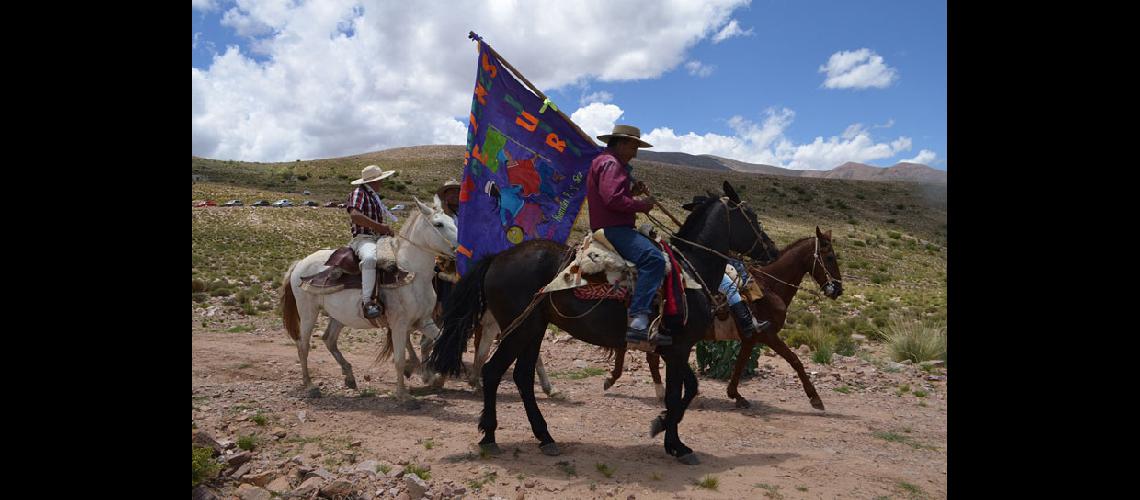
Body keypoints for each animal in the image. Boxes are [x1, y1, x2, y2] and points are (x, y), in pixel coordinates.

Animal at [281, 195, 458, 403]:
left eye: (452, 220)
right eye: (438, 224)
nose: (461, 248)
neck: (414, 274)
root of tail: (300, 263)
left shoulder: (424, 321)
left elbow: (439, 340)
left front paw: (432, 377)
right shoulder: (399, 324)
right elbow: (399, 359)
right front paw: (403, 395)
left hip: (338, 316)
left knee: (329, 339)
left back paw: (349, 376)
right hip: (308, 312)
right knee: (303, 345)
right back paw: (310, 386)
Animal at [424, 183, 779, 466]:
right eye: (751, 216)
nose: (772, 250)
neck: (690, 272)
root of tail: (497, 258)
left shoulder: (671, 349)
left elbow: (685, 390)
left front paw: (665, 431)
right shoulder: (678, 348)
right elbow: (681, 393)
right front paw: (673, 440)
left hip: (534, 329)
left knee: (522, 377)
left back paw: (545, 437)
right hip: (520, 330)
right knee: (493, 371)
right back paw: (489, 435)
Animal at [601, 226, 843, 410]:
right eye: (830, 257)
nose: (838, 289)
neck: (771, 286)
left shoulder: (751, 338)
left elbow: (740, 364)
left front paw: (736, 395)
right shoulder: (768, 335)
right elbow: (795, 360)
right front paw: (815, 398)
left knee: (643, 353)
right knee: (638, 351)